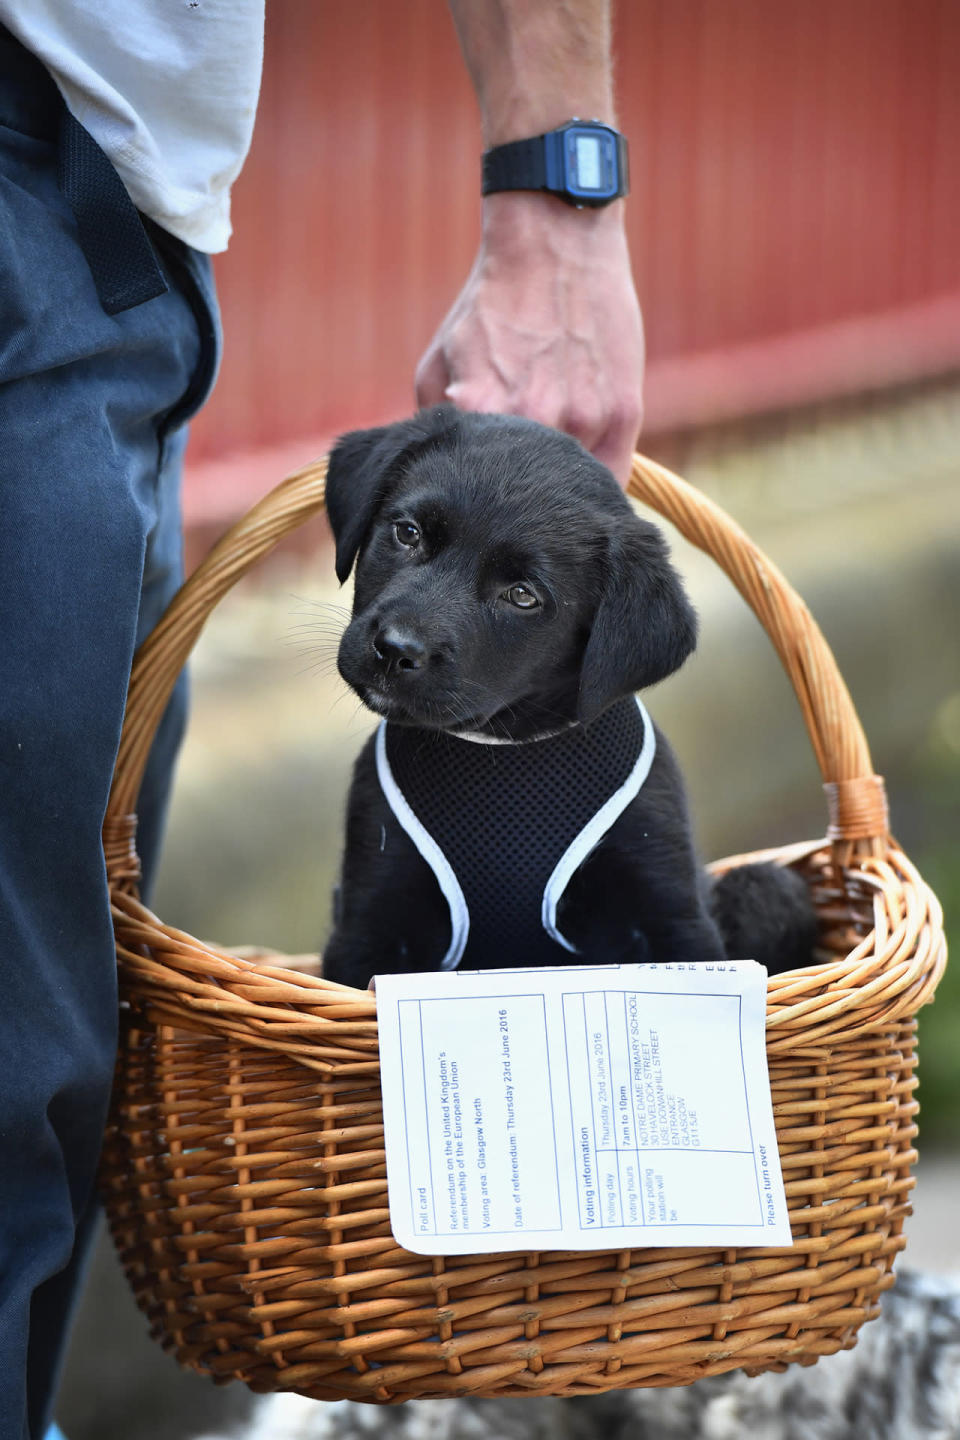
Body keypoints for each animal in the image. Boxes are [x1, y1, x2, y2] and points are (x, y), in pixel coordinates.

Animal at [320, 406, 811, 990]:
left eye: (523, 596)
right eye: (407, 532)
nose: (395, 649)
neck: (503, 748)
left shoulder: (672, 914)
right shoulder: (366, 921)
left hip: (763, 887)